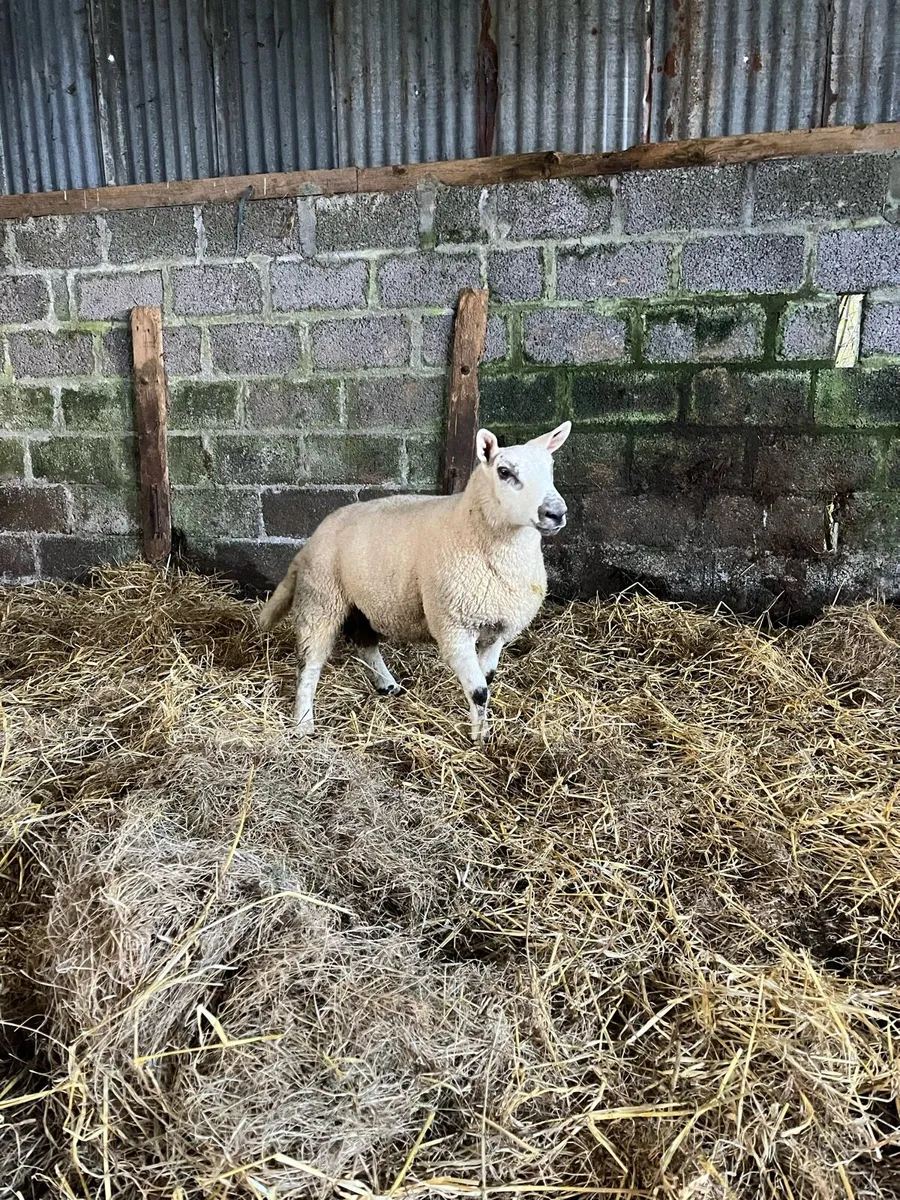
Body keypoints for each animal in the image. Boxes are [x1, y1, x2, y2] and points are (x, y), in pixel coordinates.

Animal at [257, 421, 572, 741]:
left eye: (550, 467)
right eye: (504, 472)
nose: (556, 513)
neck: (469, 526)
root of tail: (312, 538)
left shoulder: (498, 628)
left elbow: (487, 681)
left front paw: (483, 731)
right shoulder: (453, 627)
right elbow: (479, 691)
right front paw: (479, 738)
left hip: (361, 601)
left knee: (364, 642)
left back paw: (386, 684)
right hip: (321, 597)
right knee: (309, 662)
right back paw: (303, 722)